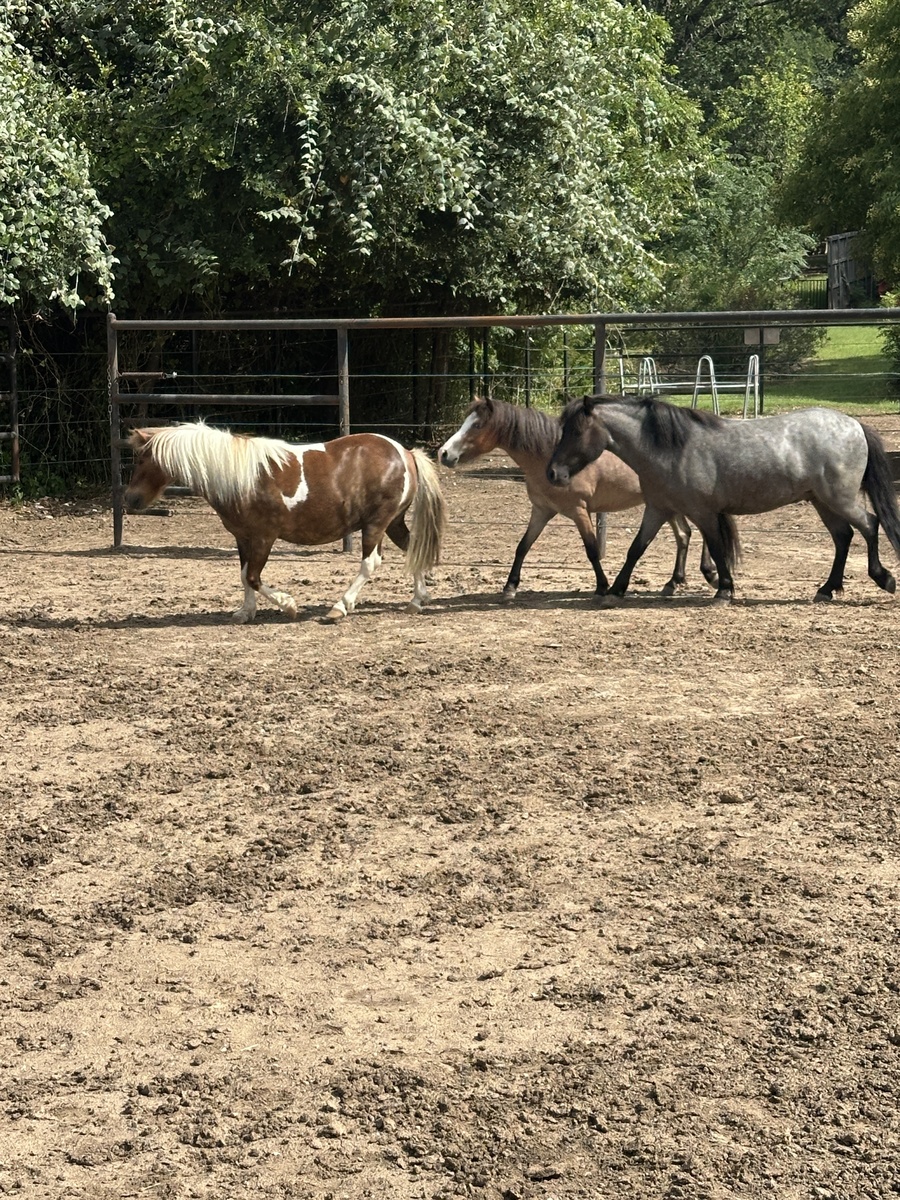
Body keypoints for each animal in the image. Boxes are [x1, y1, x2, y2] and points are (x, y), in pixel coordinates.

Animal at [124, 422, 446, 623]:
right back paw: (417, 600)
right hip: (392, 522)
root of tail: (405, 453)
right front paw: (245, 612)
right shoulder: (243, 537)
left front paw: (289, 605)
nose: (130, 500)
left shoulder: (264, 537)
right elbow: (244, 575)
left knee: (370, 563)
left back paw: (339, 608)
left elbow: (254, 577)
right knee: (413, 548)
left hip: (376, 524)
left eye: (141, 459)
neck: (239, 477)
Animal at [438, 396, 716, 599]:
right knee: (684, 535)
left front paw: (603, 587)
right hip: (666, 505)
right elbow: (523, 546)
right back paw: (674, 582)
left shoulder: (579, 511)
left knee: (698, 531)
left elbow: (592, 549)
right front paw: (510, 587)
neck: (548, 457)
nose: (444, 453)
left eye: (476, 425)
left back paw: (709, 573)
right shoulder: (541, 511)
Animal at [547, 394, 900, 605]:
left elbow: (717, 549)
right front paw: (616, 589)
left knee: (870, 525)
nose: (553, 473)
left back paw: (883, 578)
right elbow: (637, 548)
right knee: (843, 537)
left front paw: (724, 589)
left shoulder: (703, 512)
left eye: (575, 431)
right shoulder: (658, 508)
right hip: (822, 501)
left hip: (838, 499)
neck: (671, 449)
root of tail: (855, 424)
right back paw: (827, 590)